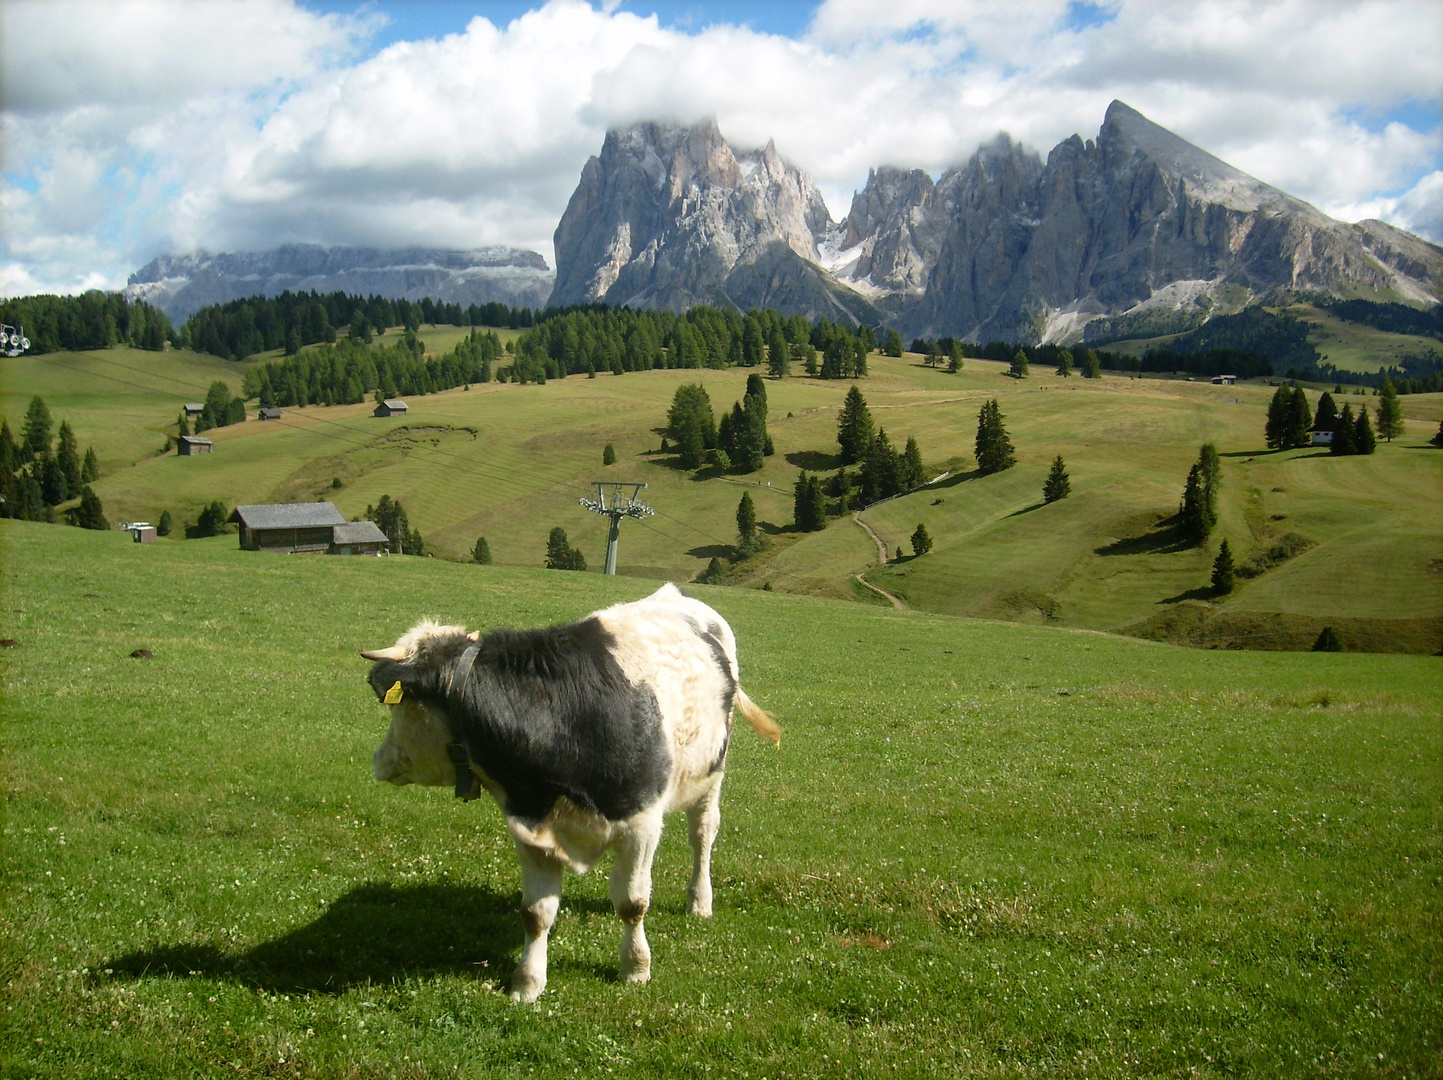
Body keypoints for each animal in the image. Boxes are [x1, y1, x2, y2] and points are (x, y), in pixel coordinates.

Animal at [360, 586, 779, 999]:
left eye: (401, 707)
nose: (378, 759)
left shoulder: (641, 825)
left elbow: (632, 902)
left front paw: (635, 967)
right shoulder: (530, 827)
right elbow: (535, 913)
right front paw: (527, 983)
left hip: (712, 772)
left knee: (703, 835)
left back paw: (699, 900)